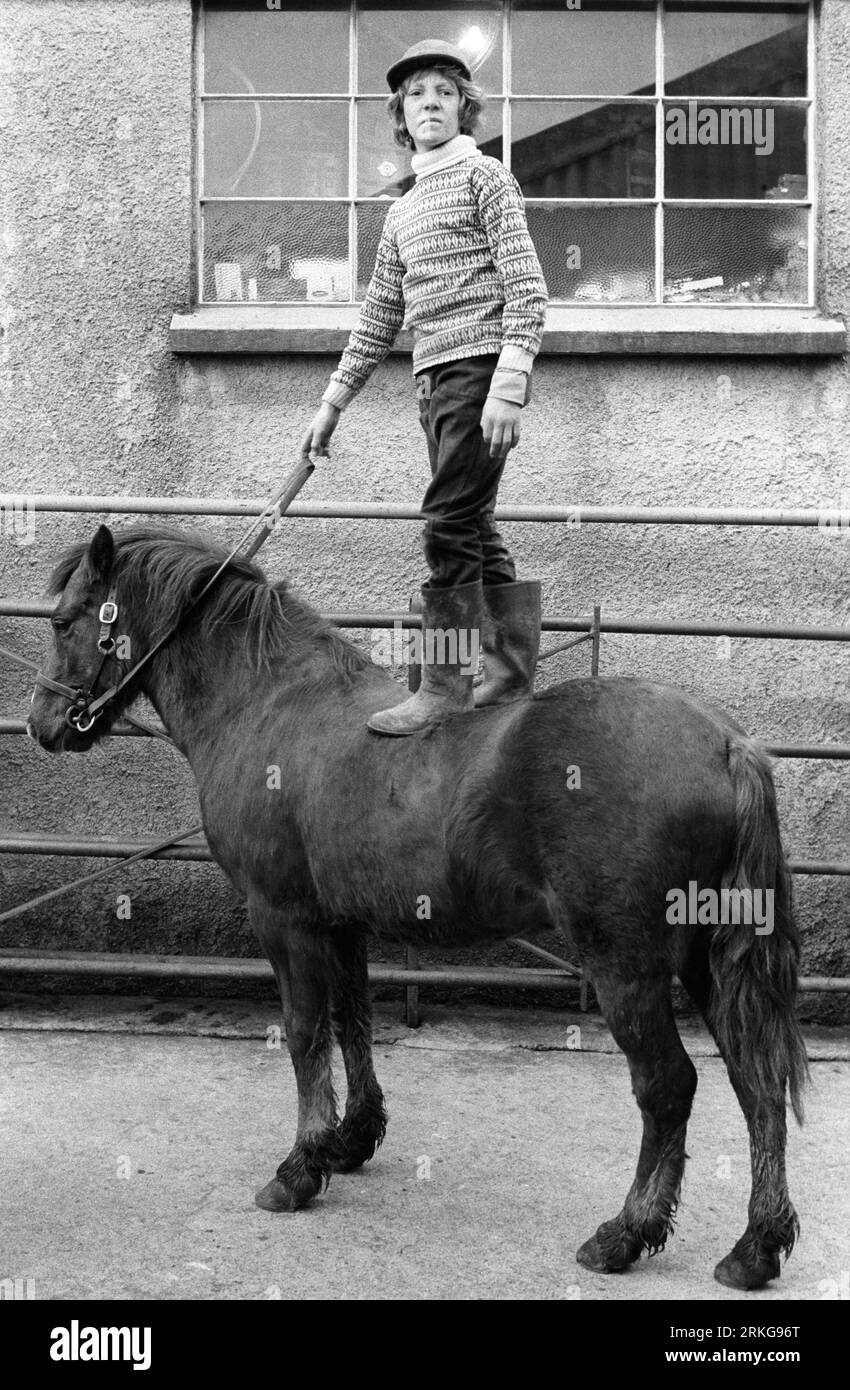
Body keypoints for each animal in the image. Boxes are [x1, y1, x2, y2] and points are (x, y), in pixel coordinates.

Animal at [28, 522, 811, 1289]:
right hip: (707, 960)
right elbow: (352, 1023)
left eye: (65, 620)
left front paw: (299, 1168)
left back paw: (626, 1232)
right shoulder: (340, 923)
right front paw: (348, 1141)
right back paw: (756, 1246)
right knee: (756, 1079)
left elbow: (305, 1032)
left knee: (668, 1086)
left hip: (627, 965)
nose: (41, 723)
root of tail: (727, 744)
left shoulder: (281, 917)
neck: (269, 701)